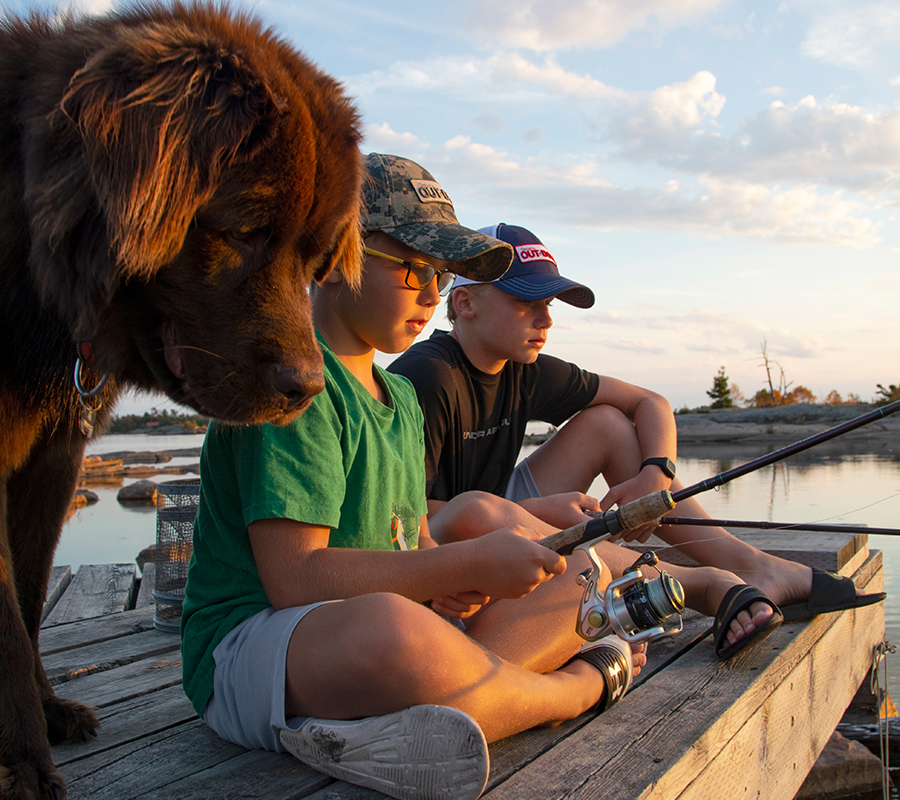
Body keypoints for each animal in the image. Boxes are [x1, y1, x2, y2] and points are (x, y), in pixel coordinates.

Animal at [2, 3, 362, 796]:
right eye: (243, 230)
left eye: (315, 257)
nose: (308, 389)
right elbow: (5, 617)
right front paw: (21, 766)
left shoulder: (53, 458)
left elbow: (31, 597)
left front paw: (46, 713)